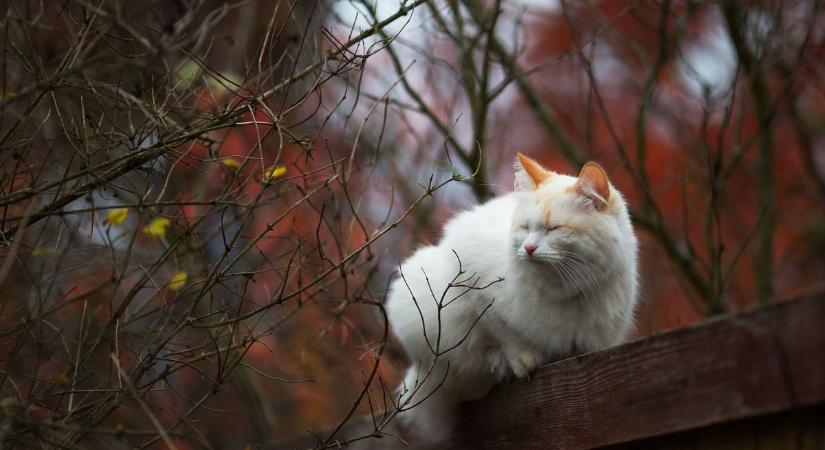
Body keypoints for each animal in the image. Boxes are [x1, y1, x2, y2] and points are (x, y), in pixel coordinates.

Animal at [384, 153, 636, 444]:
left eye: (553, 229)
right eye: (525, 228)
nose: (528, 248)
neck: (566, 290)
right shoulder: (477, 289)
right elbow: (505, 334)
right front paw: (523, 361)